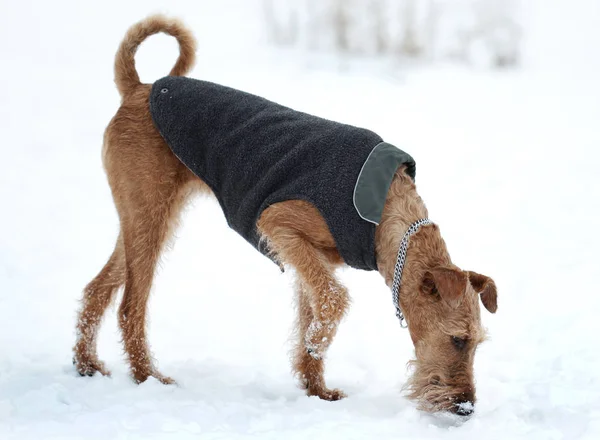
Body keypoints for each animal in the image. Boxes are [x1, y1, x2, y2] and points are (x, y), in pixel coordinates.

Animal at [74, 15, 496, 416]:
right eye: (458, 339)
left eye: (478, 342)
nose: (466, 407)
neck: (383, 216)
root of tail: (140, 88)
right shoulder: (278, 224)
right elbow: (334, 298)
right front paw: (317, 349)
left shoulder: (310, 256)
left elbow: (314, 309)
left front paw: (317, 388)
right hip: (150, 218)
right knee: (129, 307)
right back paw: (147, 376)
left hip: (144, 220)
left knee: (97, 288)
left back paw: (86, 364)